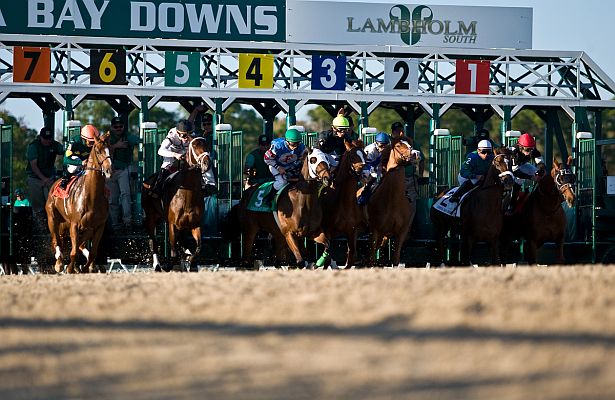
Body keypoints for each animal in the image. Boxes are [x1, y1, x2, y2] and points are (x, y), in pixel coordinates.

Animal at [46, 133, 113, 274]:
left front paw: (87, 268)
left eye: (110, 149)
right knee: (56, 241)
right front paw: (70, 268)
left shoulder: (98, 226)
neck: (92, 196)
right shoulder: (74, 224)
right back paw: (59, 263)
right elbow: (73, 251)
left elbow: (91, 252)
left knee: (80, 244)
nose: (109, 170)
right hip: (53, 218)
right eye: (98, 151)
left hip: (83, 227)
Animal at [143, 138, 211, 272]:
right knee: (153, 241)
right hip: (151, 217)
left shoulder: (194, 224)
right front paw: (169, 265)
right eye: (195, 146)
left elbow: (198, 247)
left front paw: (189, 260)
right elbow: (174, 249)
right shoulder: (172, 224)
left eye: (207, 145)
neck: (187, 194)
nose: (207, 163)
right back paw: (157, 265)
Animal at [366, 136, 418, 268]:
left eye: (410, 144)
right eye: (398, 145)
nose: (415, 154)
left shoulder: (401, 232)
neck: (393, 200)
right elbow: (372, 256)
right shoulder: (375, 229)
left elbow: (395, 259)